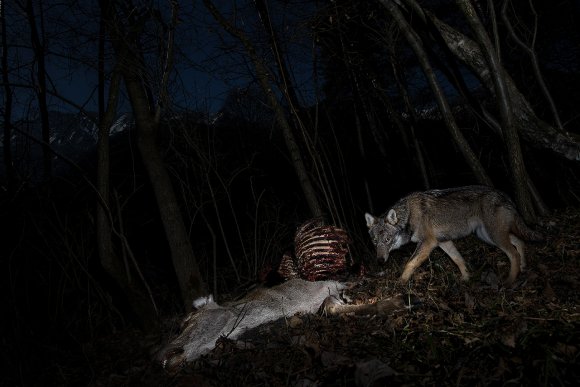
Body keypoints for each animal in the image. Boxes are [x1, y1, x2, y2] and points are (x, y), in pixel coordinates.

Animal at [368, 186, 544, 286]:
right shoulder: (442, 242)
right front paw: (466, 279)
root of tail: (505, 195)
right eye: (375, 242)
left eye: (387, 240)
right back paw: (523, 267)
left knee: (513, 253)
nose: (380, 261)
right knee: (520, 242)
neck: (409, 215)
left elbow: (409, 263)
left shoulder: (428, 243)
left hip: (494, 236)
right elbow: (458, 260)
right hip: (489, 236)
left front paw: (400, 283)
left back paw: (509, 281)